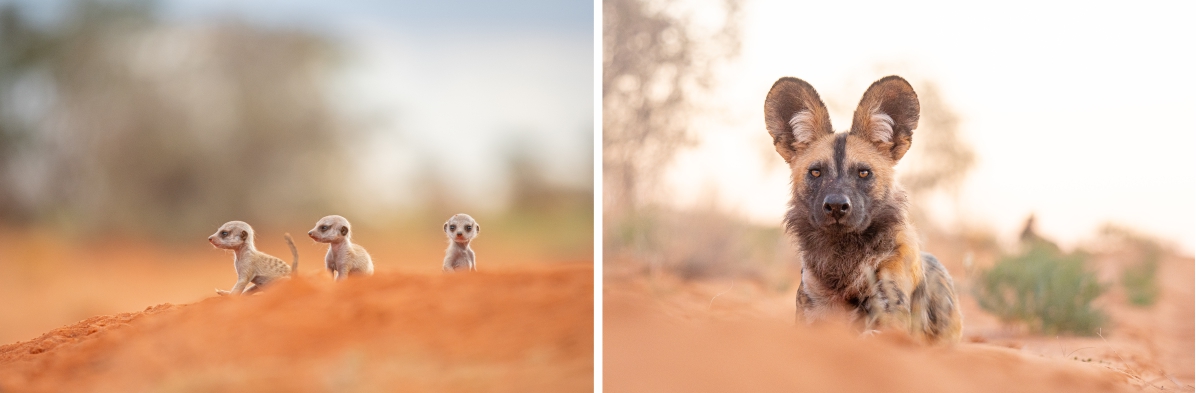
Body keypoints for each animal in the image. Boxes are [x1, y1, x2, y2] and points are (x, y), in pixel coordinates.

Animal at [765, 74, 961, 344]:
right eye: (815, 172)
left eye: (864, 173)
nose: (836, 206)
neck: (844, 261)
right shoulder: (809, 320)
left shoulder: (892, 325)